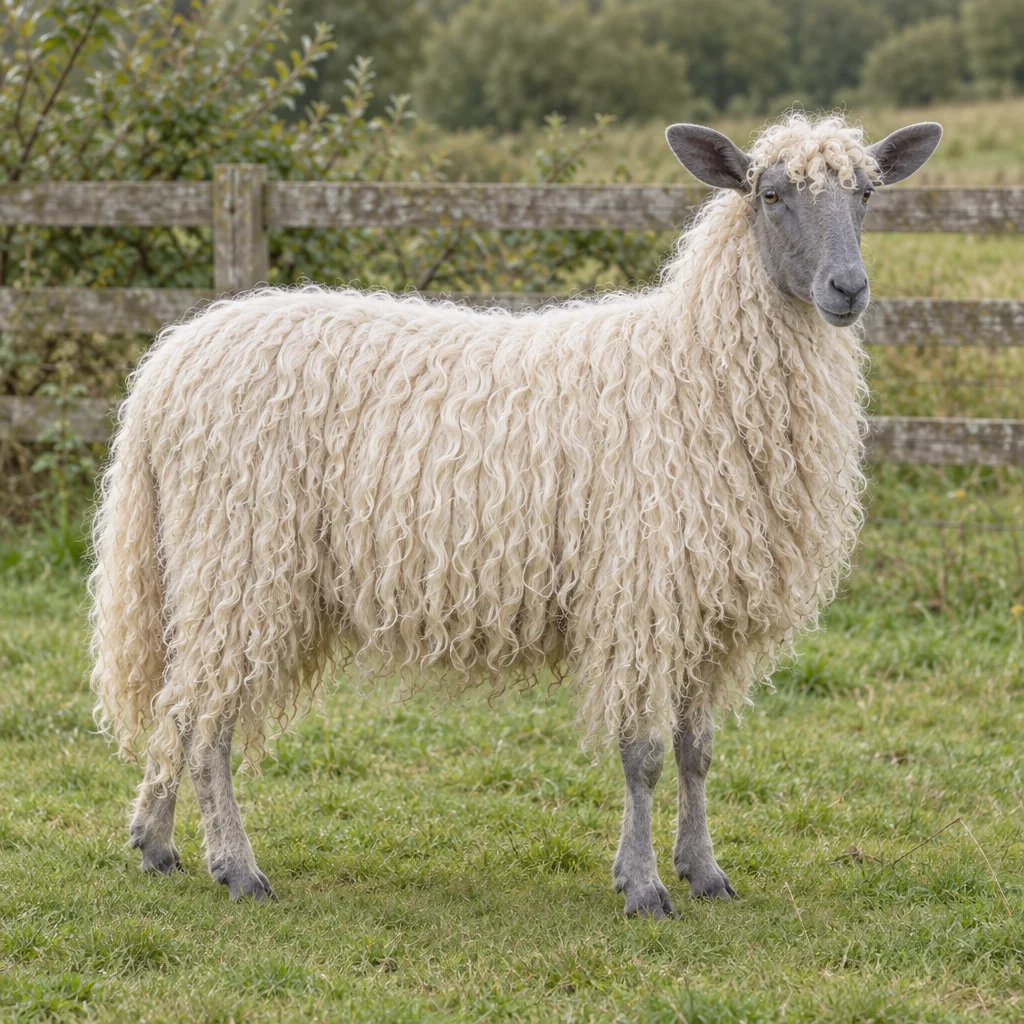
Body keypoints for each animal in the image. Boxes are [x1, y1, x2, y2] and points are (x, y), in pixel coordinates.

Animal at [90, 113, 941, 915]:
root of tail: (166, 367)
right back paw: (237, 868)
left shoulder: (705, 604)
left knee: (176, 707)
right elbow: (643, 754)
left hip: (211, 567)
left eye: (867, 194)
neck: (695, 363)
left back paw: (156, 842)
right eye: (769, 194)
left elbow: (696, 751)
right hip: (240, 560)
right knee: (205, 718)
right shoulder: (643, 590)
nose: (848, 290)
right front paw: (643, 887)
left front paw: (704, 872)